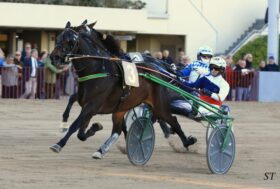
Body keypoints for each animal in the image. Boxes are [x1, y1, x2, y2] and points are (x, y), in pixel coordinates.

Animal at [48, 21, 197, 158]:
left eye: (71, 40)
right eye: (58, 38)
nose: (54, 57)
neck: (98, 69)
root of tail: (161, 68)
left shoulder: (92, 105)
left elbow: (75, 125)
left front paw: (59, 144)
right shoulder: (89, 105)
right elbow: (80, 128)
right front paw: (92, 127)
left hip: (159, 105)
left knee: (172, 120)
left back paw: (186, 142)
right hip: (123, 108)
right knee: (119, 129)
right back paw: (102, 150)